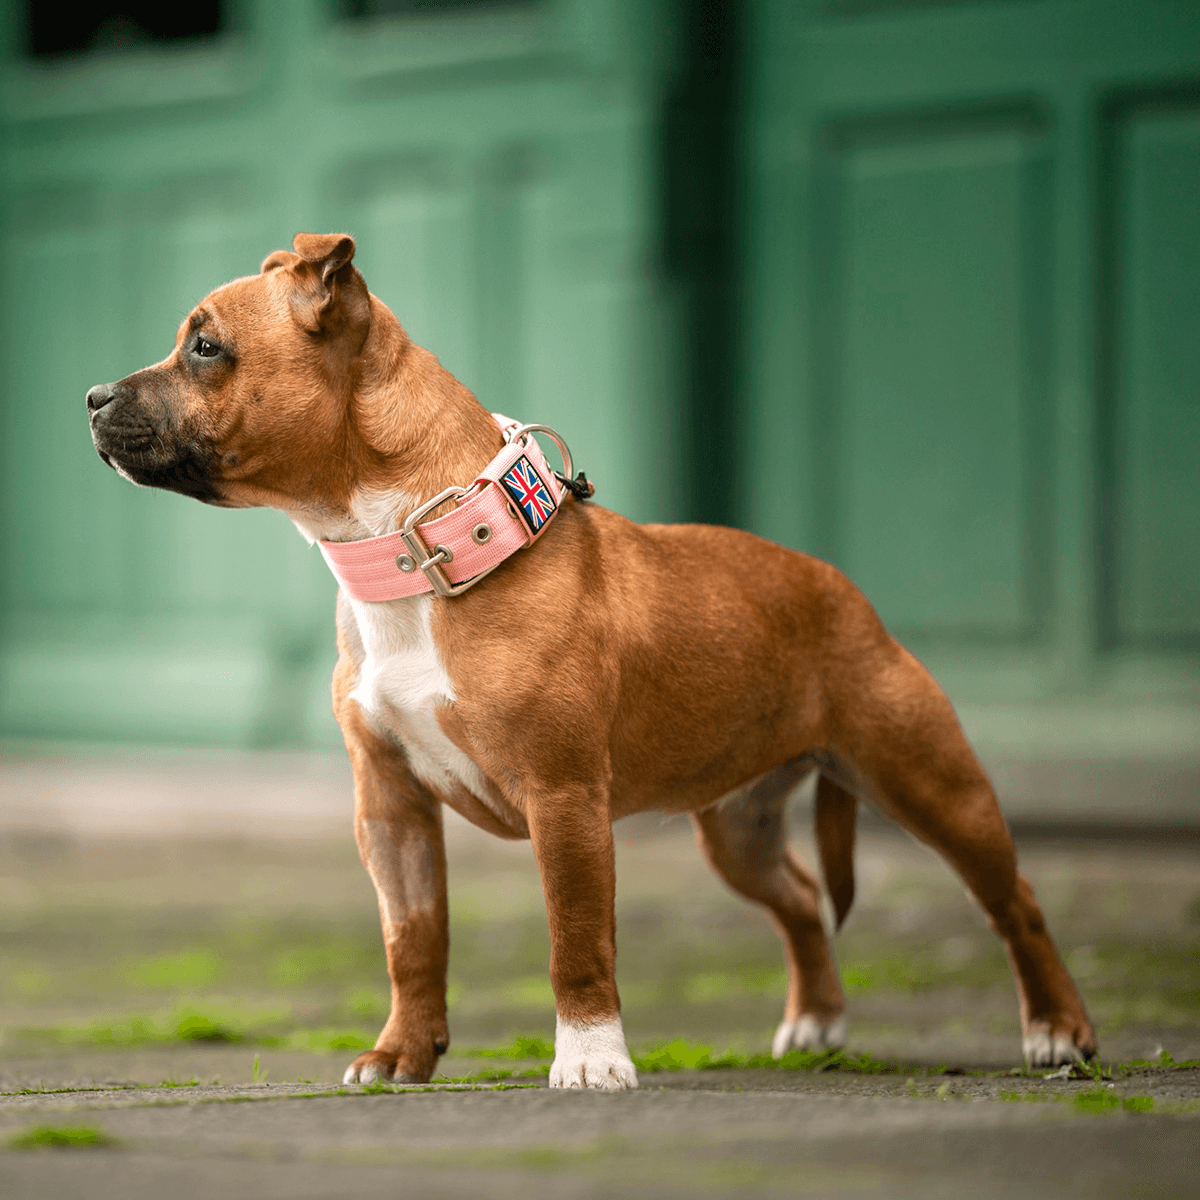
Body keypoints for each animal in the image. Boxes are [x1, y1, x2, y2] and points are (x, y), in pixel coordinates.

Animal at [84, 231, 1099, 1089]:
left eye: (205, 347)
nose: (92, 400)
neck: (423, 545)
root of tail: (839, 587)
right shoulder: (392, 808)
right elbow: (412, 939)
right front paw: (402, 1054)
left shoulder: (563, 798)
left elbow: (576, 940)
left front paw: (591, 1059)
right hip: (739, 827)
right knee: (804, 898)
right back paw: (816, 1022)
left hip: (929, 780)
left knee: (1014, 901)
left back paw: (1057, 1031)